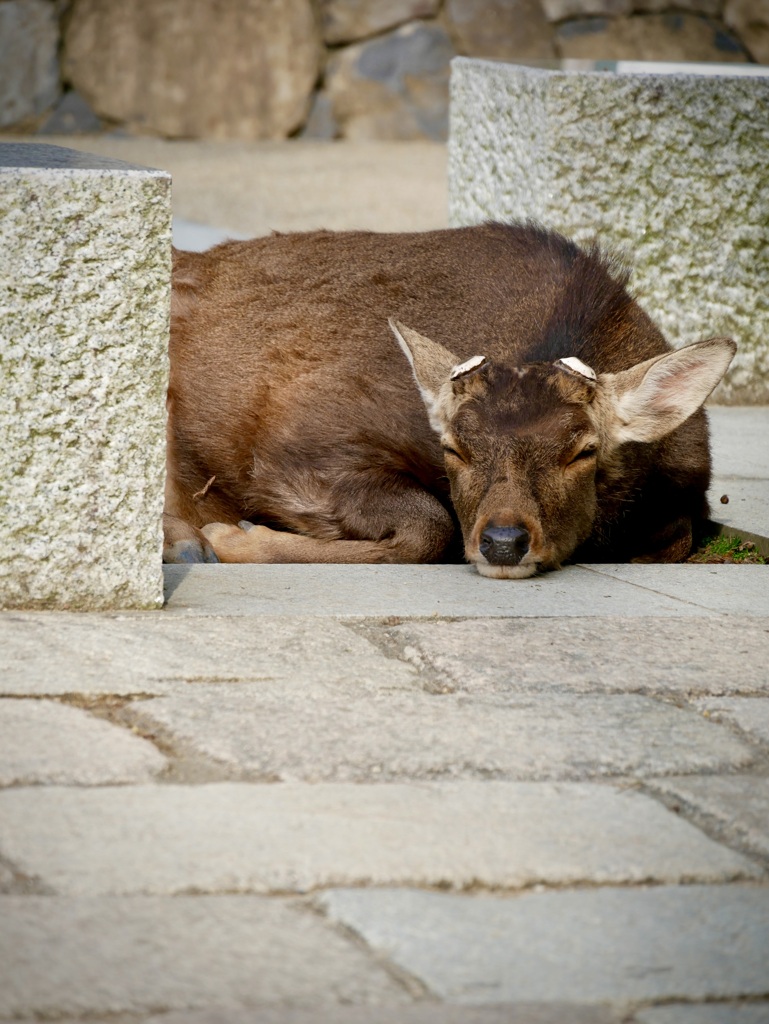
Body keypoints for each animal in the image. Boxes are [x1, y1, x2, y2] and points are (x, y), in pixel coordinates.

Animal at [165, 221, 737, 581]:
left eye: (583, 451)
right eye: (454, 448)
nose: (503, 540)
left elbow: (675, 538)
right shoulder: (295, 448)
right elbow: (431, 527)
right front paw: (231, 537)